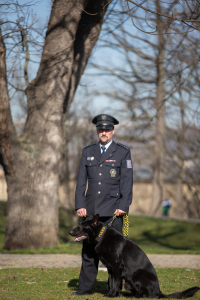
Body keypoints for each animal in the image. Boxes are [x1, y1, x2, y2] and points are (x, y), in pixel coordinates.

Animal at [69, 213, 199, 298]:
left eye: (82, 226)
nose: (69, 232)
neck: (102, 236)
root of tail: (159, 291)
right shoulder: (110, 269)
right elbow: (111, 282)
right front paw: (110, 294)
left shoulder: (116, 267)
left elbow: (115, 283)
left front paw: (112, 295)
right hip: (128, 283)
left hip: (136, 275)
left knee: (148, 296)